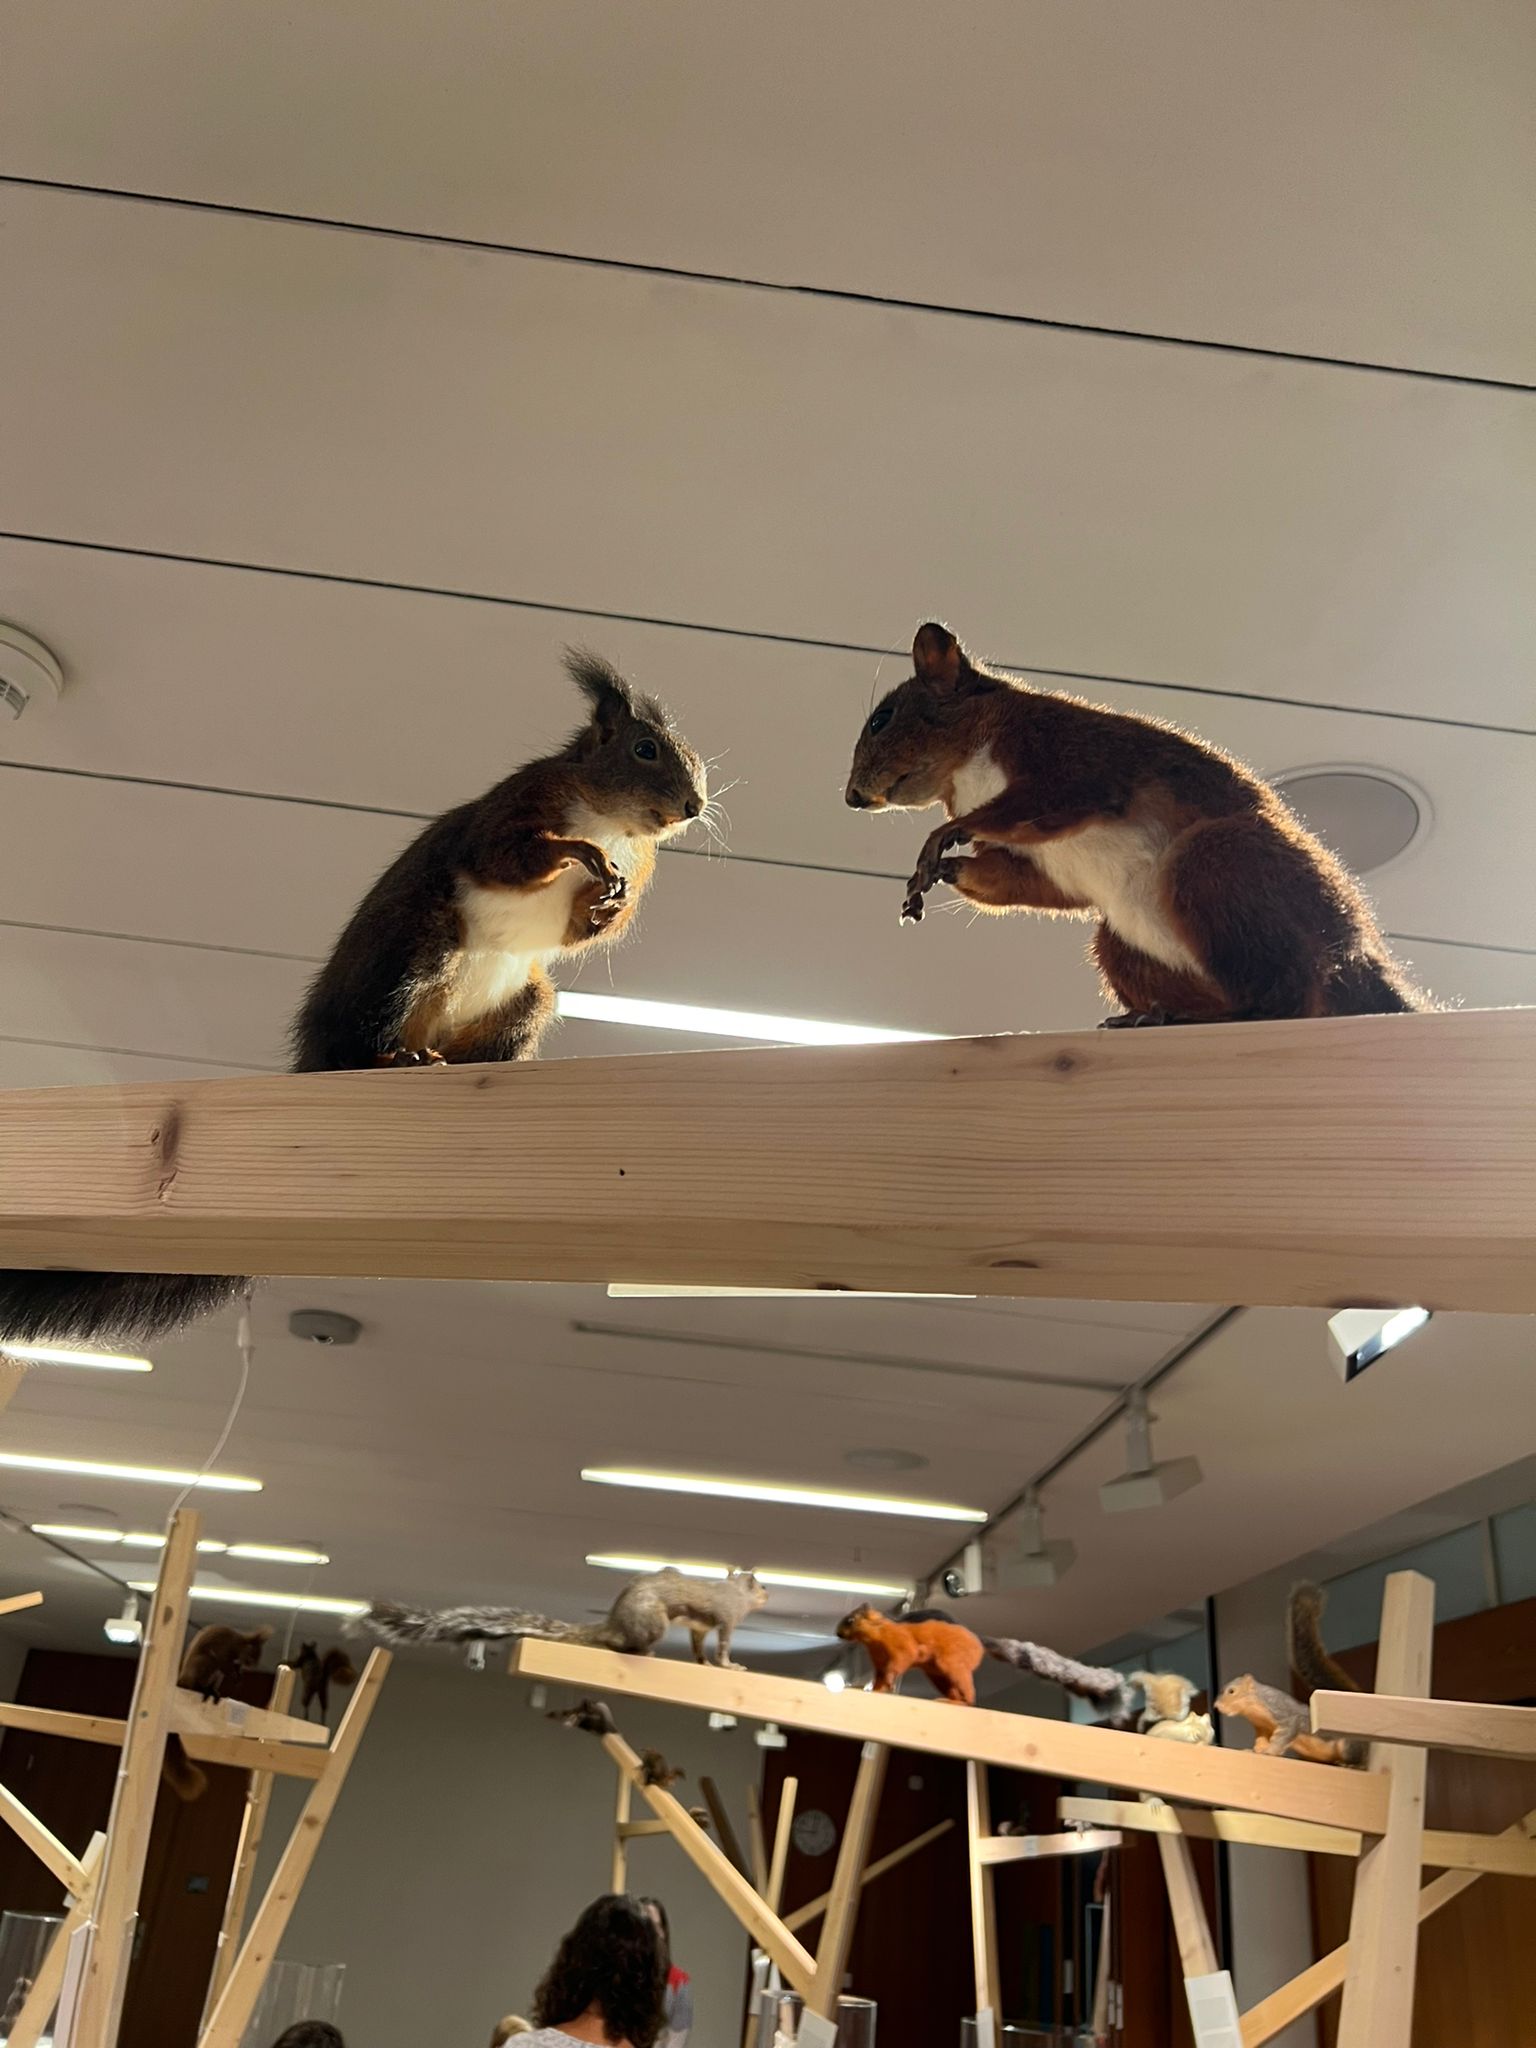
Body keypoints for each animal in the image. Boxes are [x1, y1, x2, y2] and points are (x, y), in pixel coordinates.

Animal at [0, 649, 705, 1348]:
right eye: (645, 749)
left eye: (695, 761)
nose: (694, 805)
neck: (613, 824)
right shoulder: (513, 810)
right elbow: (508, 854)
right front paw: (579, 853)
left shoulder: (632, 869)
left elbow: (582, 929)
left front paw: (605, 904)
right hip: (413, 949)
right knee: (362, 1042)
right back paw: (395, 1059)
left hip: (526, 999)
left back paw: (463, 1065)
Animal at [163, 1624, 272, 1800]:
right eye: (253, 1653)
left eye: (258, 1655)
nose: (253, 1664)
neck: (239, 1643)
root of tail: (182, 1680)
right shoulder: (224, 1651)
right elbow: (224, 1664)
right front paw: (237, 1677)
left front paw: (238, 1675)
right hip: (204, 1662)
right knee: (204, 1674)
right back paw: (202, 1689)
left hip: (214, 1674)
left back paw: (213, 1692)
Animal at [836, 1605, 985, 1704]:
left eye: (850, 1620)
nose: (838, 1633)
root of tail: (979, 1644)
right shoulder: (879, 1661)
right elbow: (879, 1677)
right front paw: (877, 1690)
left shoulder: (901, 1643)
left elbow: (904, 1657)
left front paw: (889, 1681)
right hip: (938, 1676)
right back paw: (948, 1700)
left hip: (953, 1663)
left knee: (969, 1695)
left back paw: (960, 1701)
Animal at [845, 621, 1428, 1027]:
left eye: (882, 718)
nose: (851, 797)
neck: (963, 771)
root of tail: (1358, 957)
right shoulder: (1044, 866)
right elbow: (1027, 884)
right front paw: (943, 872)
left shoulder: (1066, 755)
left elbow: (1046, 802)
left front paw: (942, 839)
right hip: (1120, 944)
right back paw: (1152, 1016)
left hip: (1217, 863)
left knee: (1278, 999)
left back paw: (1185, 1018)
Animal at [1215, 1674, 1364, 1767]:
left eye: (1232, 1691)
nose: (1216, 1706)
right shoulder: (1262, 1727)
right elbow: (1261, 1739)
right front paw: (1255, 1750)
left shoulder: (1283, 1714)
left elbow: (1282, 1737)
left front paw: (1270, 1751)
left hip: (1347, 1747)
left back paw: (1351, 1764)